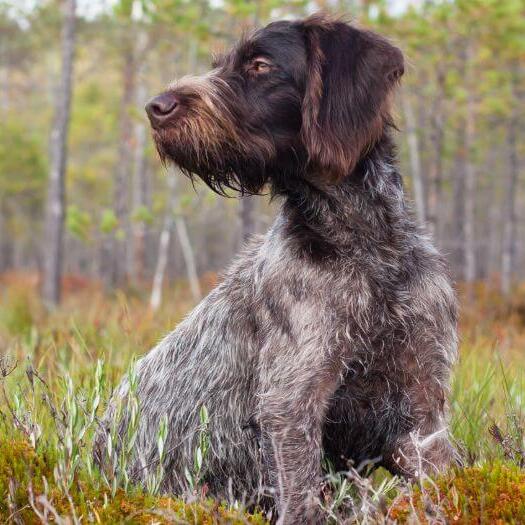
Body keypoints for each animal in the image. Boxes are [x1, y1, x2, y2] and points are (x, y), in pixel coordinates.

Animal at [96, 14, 456, 520]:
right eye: (221, 64)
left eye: (260, 64)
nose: (155, 107)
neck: (364, 245)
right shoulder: (292, 403)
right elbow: (301, 500)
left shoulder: (422, 406)